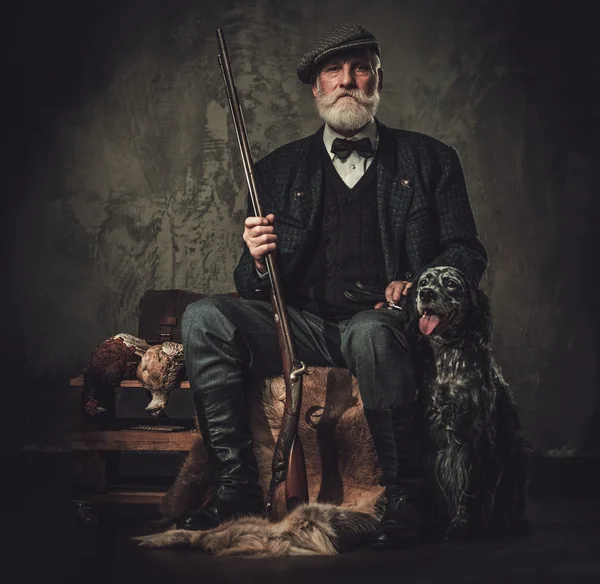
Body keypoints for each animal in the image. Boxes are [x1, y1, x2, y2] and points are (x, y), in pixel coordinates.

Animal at [406, 266, 532, 540]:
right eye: (423, 282)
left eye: (451, 284)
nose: (426, 293)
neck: (448, 358)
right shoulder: (428, 434)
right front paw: (430, 524)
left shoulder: (476, 437)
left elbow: (469, 489)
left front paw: (461, 525)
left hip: (515, 455)